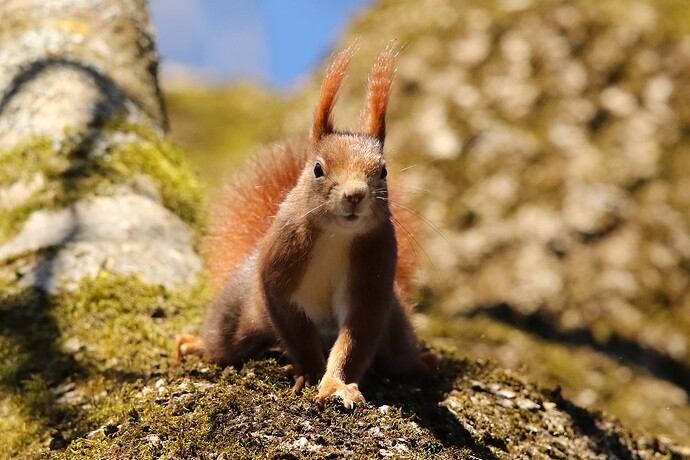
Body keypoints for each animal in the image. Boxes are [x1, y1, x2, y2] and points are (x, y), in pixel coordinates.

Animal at [176, 43, 436, 408]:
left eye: (383, 171)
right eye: (317, 169)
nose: (355, 195)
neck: (336, 235)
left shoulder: (374, 277)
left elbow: (353, 341)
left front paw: (336, 384)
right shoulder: (279, 268)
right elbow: (296, 329)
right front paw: (311, 371)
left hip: (396, 327)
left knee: (398, 357)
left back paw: (422, 363)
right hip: (237, 315)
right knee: (226, 344)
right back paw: (196, 345)